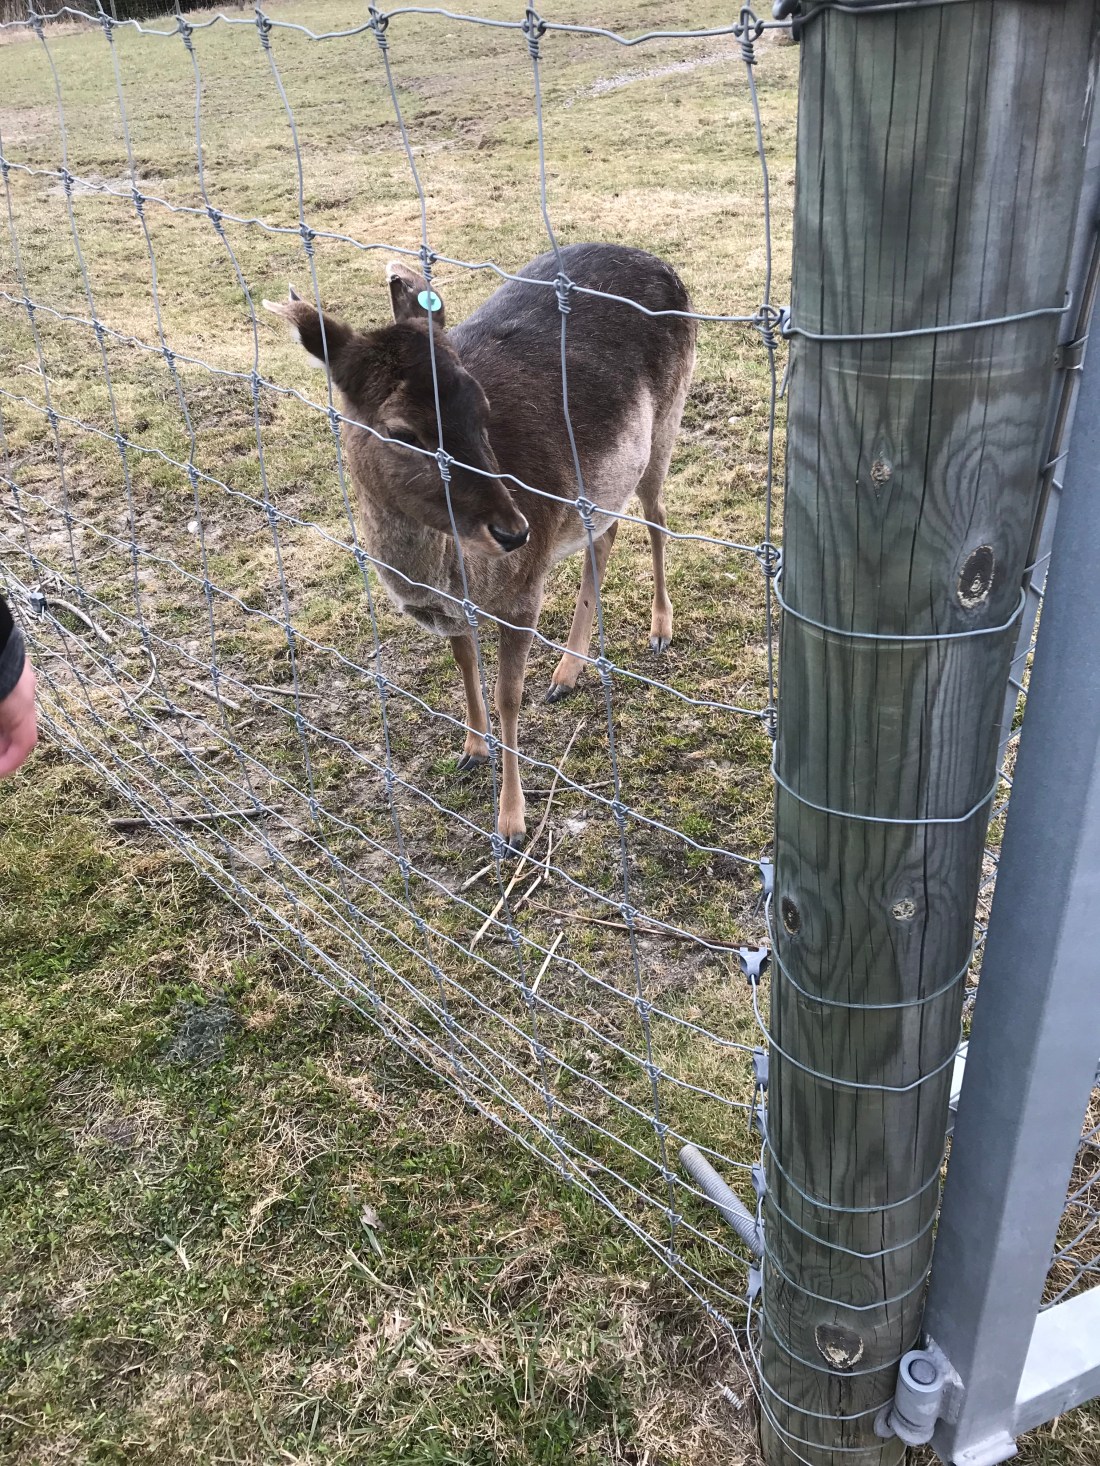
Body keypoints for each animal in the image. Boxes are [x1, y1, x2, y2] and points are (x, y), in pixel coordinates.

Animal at [264, 243, 696, 851]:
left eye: (483, 407)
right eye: (402, 432)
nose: (516, 531)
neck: (450, 578)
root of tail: (659, 263)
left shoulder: (523, 592)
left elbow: (508, 693)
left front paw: (511, 822)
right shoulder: (453, 609)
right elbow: (464, 659)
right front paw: (472, 748)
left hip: (666, 422)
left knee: (656, 518)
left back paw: (658, 631)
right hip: (604, 481)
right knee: (606, 532)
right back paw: (567, 672)